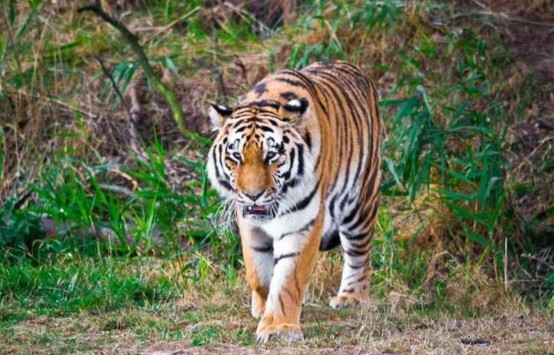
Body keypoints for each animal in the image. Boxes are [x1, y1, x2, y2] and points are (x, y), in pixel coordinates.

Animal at [205, 60, 382, 342]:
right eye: (236, 156)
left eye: (272, 155)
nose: (253, 194)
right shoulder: (248, 223)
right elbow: (257, 271)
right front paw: (262, 306)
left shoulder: (302, 223)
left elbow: (289, 277)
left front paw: (279, 326)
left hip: (360, 202)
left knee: (359, 254)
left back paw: (350, 298)